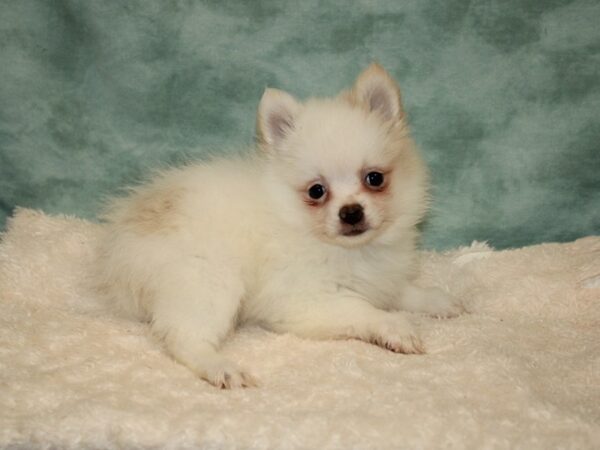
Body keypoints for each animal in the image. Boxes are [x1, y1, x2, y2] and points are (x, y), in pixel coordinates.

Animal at [95, 64, 460, 390]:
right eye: (316, 191)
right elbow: (364, 309)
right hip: (207, 282)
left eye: (374, 178)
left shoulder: (383, 279)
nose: (351, 213)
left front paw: (439, 301)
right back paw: (221, 366)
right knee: (184, 338)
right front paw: (395, 327)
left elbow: (401, 292)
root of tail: (123, 244)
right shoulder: (305, 301)